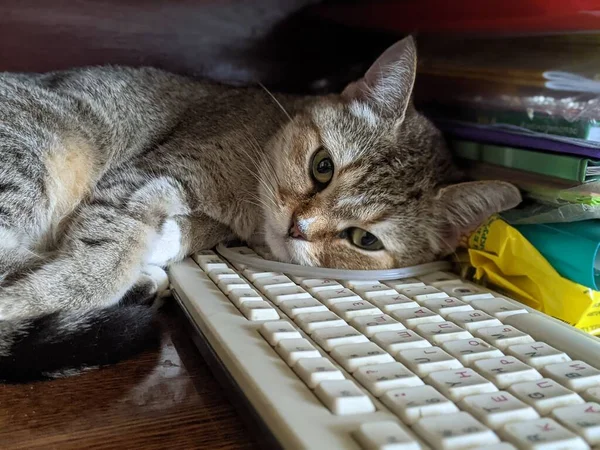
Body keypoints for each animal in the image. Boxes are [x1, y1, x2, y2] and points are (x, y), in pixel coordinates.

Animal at [0, 36, 520, 380]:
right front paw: (60, 292)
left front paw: (165, 243)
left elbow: (180, 232)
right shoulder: (147, 174)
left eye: (364, 239)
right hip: (36, 154)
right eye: (323, 167)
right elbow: (104, 255)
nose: (299, 227)